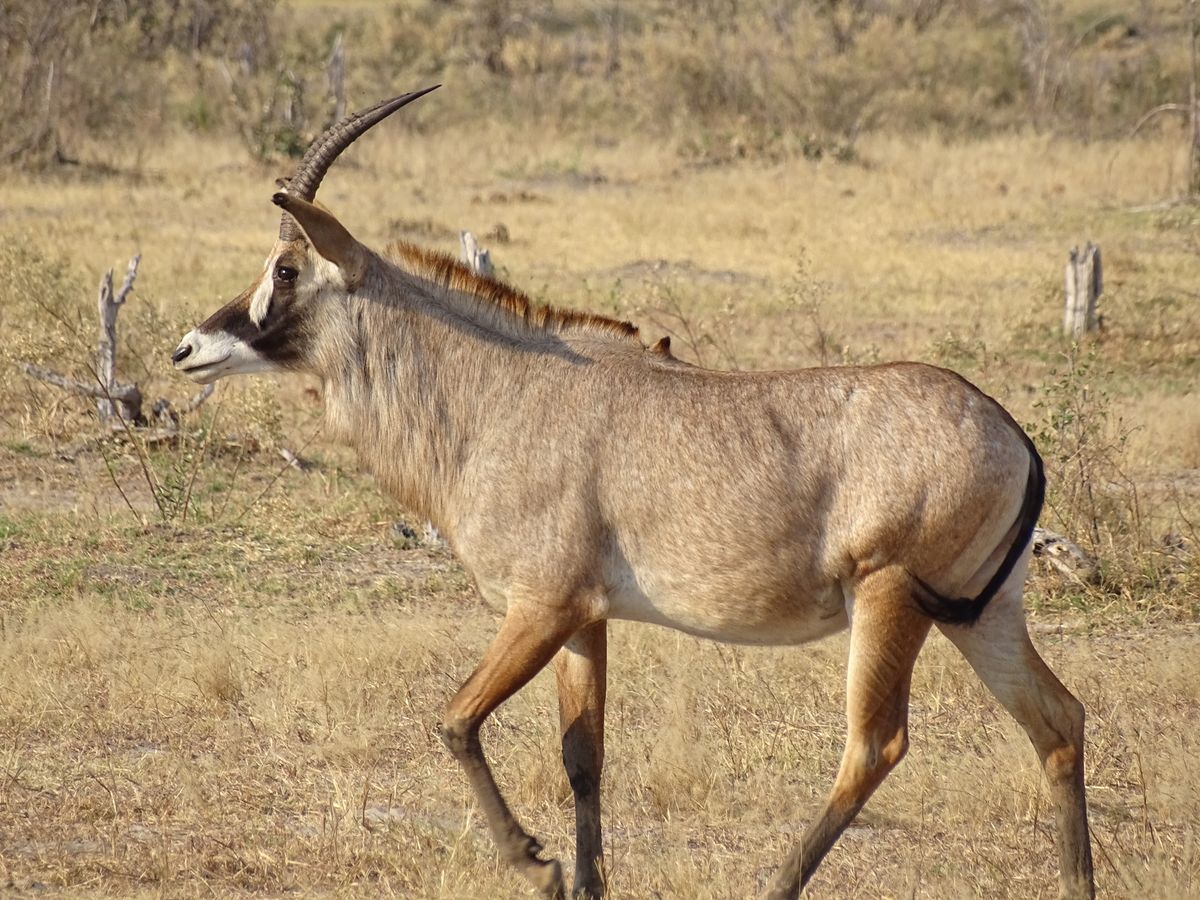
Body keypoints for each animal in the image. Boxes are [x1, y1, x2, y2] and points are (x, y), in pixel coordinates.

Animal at [172, 87, 1095, 900]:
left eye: (287, 267)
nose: (187, 348)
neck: (502, 390)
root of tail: (1010, 433)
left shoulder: (540, 606)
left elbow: (455, 719)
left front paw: (536, 865)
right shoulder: (585, 617)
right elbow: (584, 755)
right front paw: (582, 881)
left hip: (889, 598)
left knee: (876, 745)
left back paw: (776, 884)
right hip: (982, 614)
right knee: (1059, 720)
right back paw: (1076, 882)